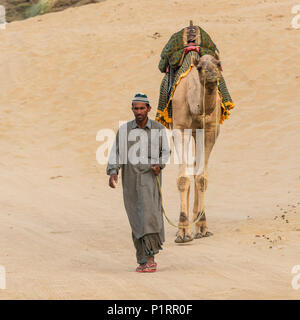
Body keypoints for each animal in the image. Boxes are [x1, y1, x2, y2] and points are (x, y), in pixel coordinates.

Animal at [171, 53, 223, 242]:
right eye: (200, 67)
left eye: (218, 64)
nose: (212, 73)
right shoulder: (179, 127)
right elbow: (182, 178)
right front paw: (183, 232)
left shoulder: (210, 130)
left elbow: (201, 177)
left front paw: (202, 226)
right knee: (187, 169)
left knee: (195, 169)